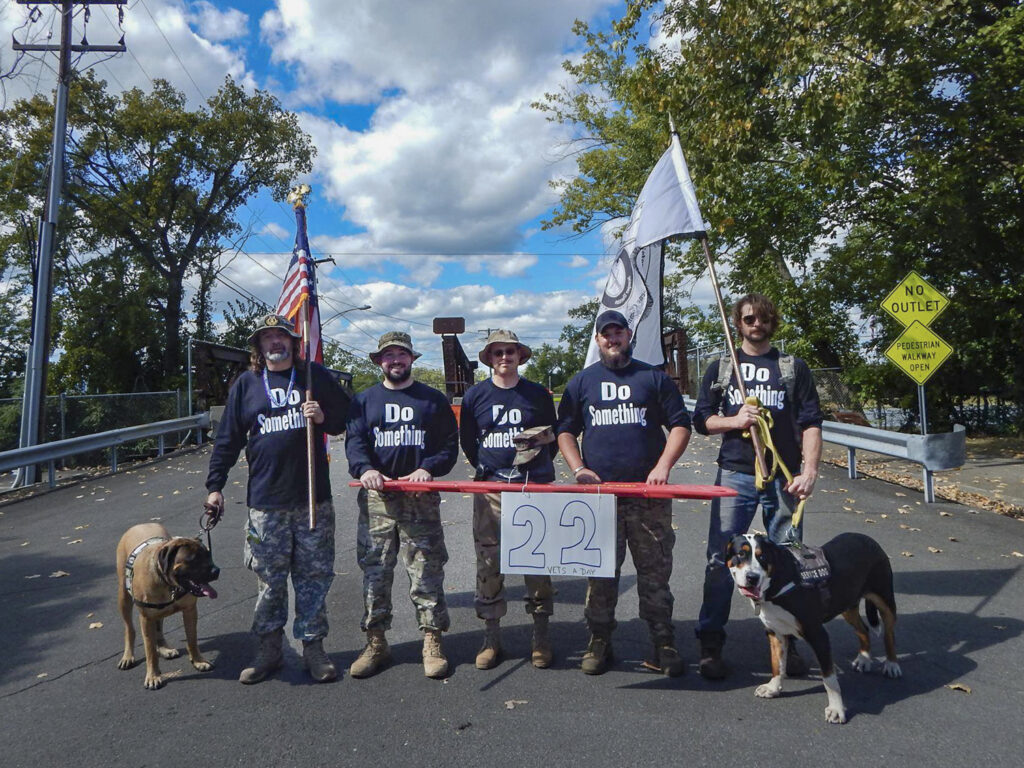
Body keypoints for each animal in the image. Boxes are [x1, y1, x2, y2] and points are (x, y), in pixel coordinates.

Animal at [116, 524, 220, 692]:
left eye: (208, 555)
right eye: (193, 559)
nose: (216, 570)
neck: (167, 583)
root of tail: (139, 525)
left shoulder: (190, 611)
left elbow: (192, 639)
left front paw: (198, 661)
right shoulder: (146, 618)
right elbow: (150, 650)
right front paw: (153, 676)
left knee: (158, 628)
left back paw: (164, 648)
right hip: (123, 597)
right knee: (129, 628)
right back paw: (128, 656)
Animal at [724, 532, 901, 724]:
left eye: (762, 556)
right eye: (740, 554)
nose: (752, 577)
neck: (777, 582)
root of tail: (867, 538)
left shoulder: (818, 635)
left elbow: (829, 679)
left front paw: (836, 709)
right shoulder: (776, 632)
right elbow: (777, 664)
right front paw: (773, 688)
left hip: (885, 600)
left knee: (889, 634)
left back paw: (892, 664)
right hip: (847, 605)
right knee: (863, 630)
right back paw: (864, 658)